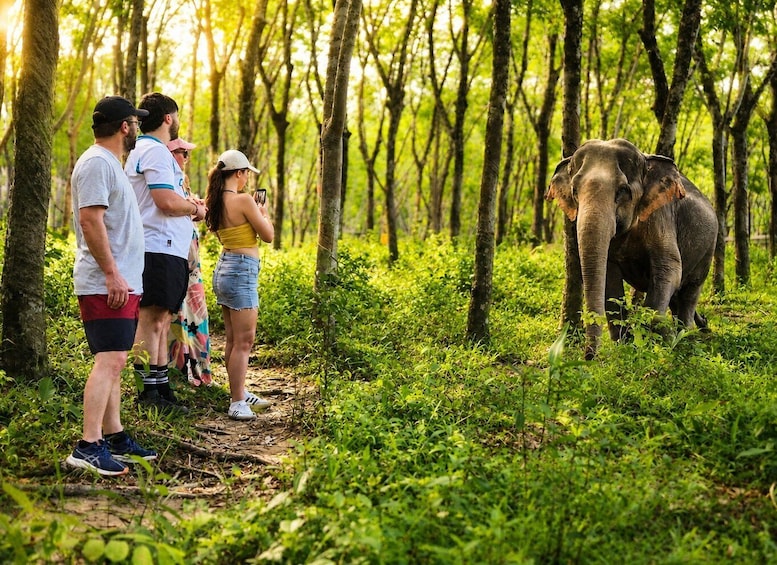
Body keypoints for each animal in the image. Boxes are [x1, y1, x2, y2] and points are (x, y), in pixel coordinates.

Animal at [546, 138, 717, 359]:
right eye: (574, 191)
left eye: (622, 191)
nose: (588, 358)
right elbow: (610, 281)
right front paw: (626, 347)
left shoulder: (661, 216)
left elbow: (669, 269)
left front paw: (658, 341)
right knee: (676, 299)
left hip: (708, 249)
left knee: (689, 292)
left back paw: (684, 338)